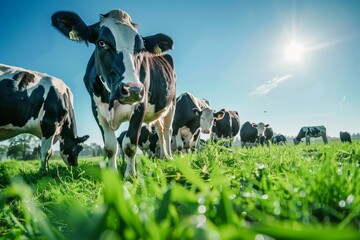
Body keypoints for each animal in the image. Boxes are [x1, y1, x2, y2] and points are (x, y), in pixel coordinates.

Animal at [51, 9, 176, 178]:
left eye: (141, 48)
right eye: (101, 43)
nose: (132, 89)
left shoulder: (140, 105)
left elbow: (129, 144)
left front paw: (130, 176)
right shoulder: (96, 109)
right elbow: (110, 146)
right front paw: (112, 175)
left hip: (171, 105)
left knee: (168, 130)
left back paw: (168, 157)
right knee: (160, 129)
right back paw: (162, 156)